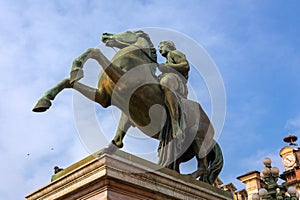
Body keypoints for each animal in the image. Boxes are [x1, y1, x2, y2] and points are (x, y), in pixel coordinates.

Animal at [32, 29, 223, 184]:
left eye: (127, 32)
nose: (105, 34)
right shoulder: (103, 97)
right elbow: (69, 82)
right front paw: (44, 101)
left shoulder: (122, 82)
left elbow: (95, 52)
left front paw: (77, 65)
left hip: (199, 139)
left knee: (203, 165)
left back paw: (189, 174)